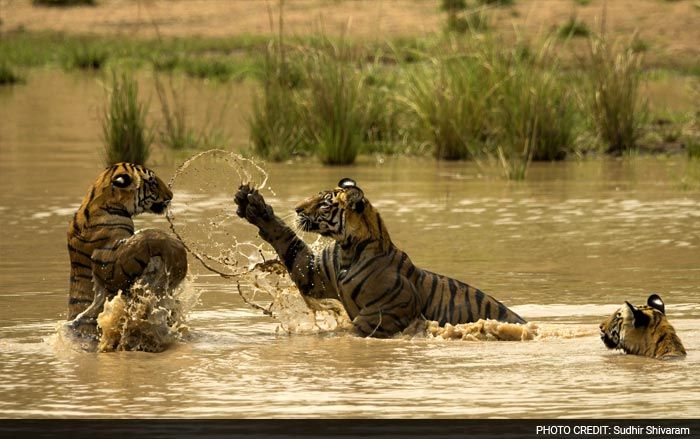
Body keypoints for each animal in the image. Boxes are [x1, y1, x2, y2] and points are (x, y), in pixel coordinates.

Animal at [235, 177, 524, 338]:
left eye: (324, 203)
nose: (296, 208)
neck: (348, 250)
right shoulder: (313, 274)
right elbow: (287, 242)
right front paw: (253, 204)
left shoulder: (394, 306)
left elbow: (359, 327)